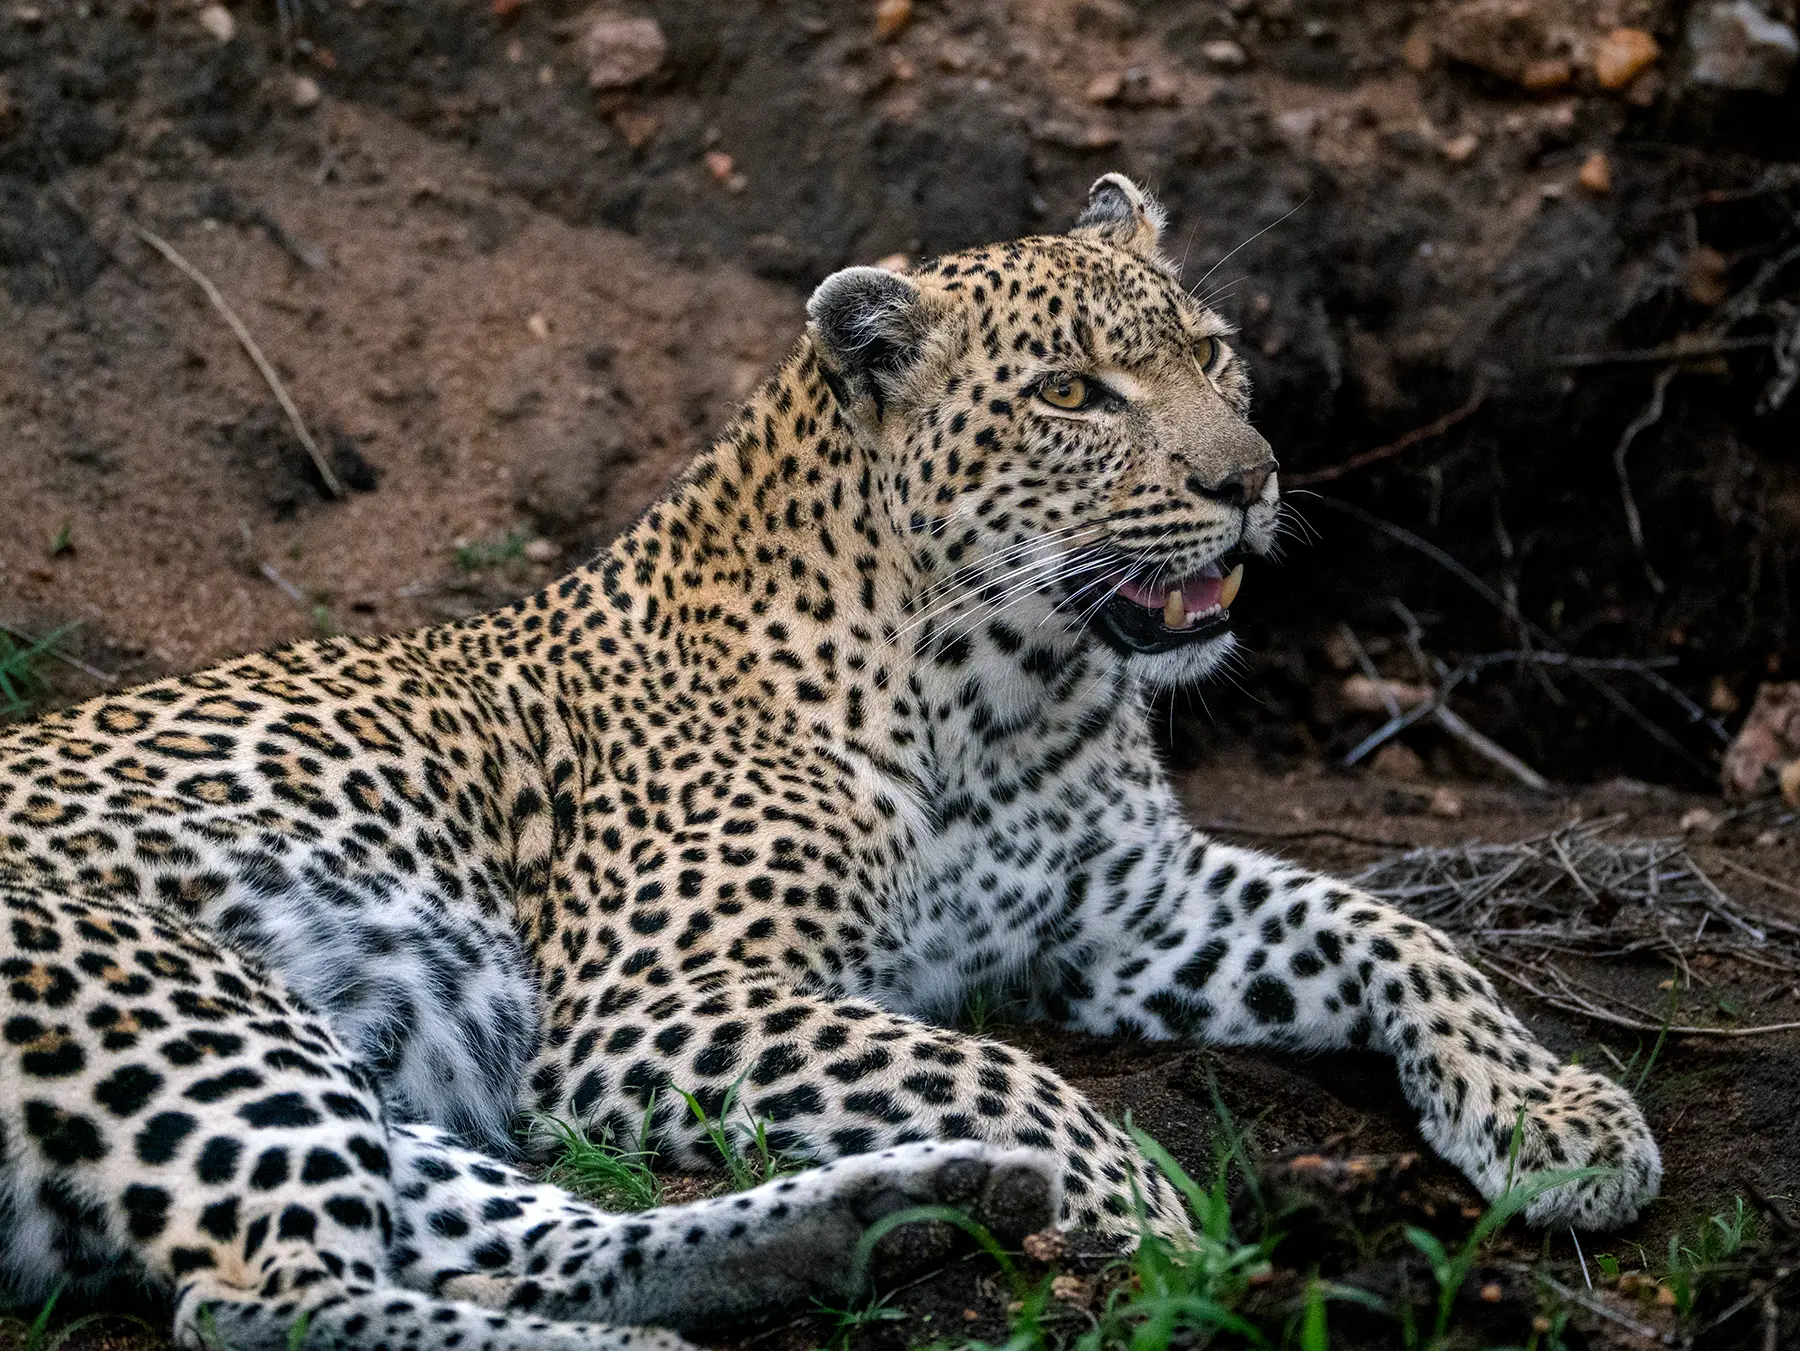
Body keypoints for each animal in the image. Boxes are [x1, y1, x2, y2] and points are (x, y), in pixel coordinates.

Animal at [0, 174, 1661, 1349]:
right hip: (196, 1003)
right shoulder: (644, 999)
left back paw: (892, 1212)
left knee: (504, 1238)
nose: (1246, 481)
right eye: (1072, 393)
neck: (1006, 692)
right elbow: (989, 1061)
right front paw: (1153, 1218)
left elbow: (1401, 929)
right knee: (256, 1293)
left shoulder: (1136, 907)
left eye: (1213, 353)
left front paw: (1553, 1111)